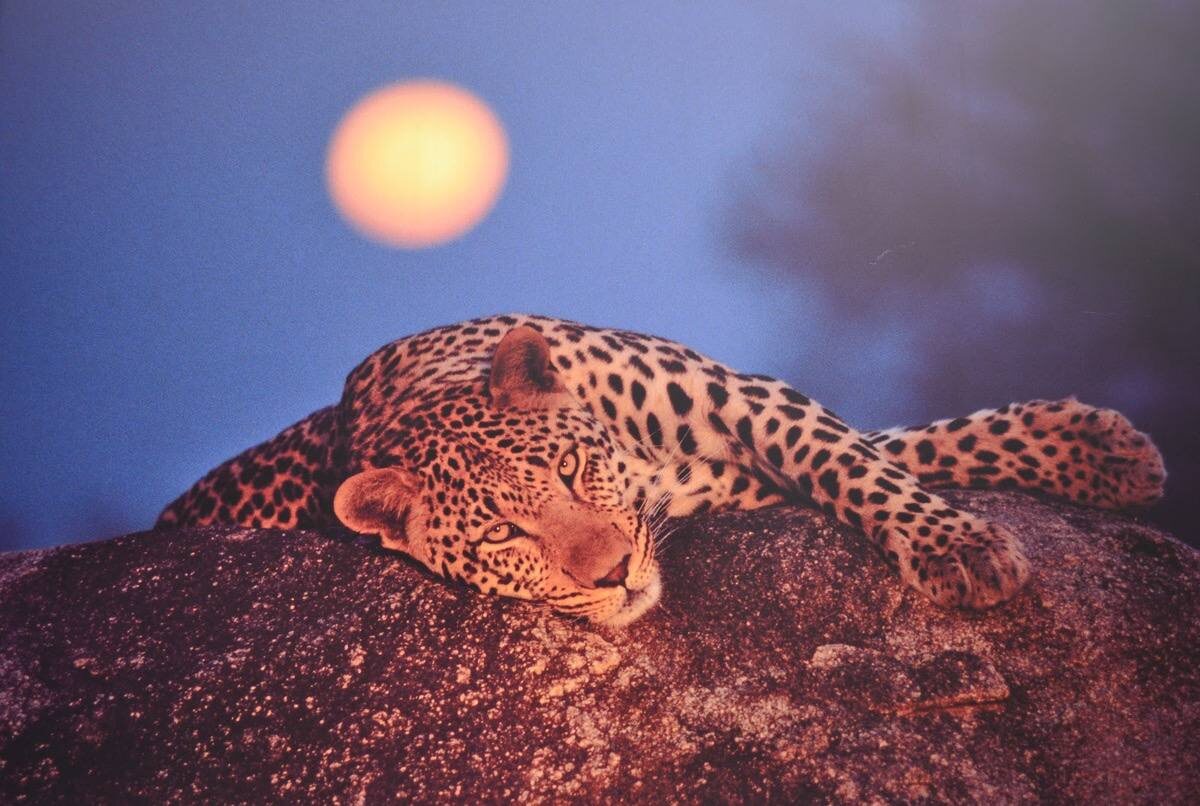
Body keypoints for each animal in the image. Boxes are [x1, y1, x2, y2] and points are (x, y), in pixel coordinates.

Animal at [157, 314, 1166, 626]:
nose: (612, 574)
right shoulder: (723, 484)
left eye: (570, 471)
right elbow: (888, 450)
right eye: (504, 534)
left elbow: (865, 455)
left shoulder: (748, 406)